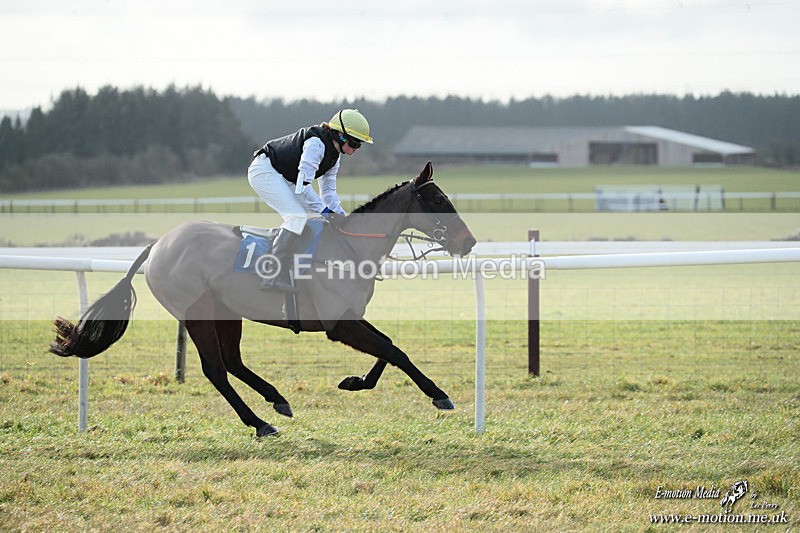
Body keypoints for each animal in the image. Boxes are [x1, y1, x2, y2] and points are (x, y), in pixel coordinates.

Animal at [49, 162, 477, 436]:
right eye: (437, 201)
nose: (469, 241)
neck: (349, 248)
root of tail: (157, 246)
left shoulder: (349, 316)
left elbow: (388, 347)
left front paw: (355, 382)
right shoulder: (339, 324)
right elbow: (394, 351)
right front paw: (439, 395)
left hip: (226, 312)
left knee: (232, 361)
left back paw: (277, 400)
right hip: (197, 312)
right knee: (216, 370)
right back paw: (259, 422)